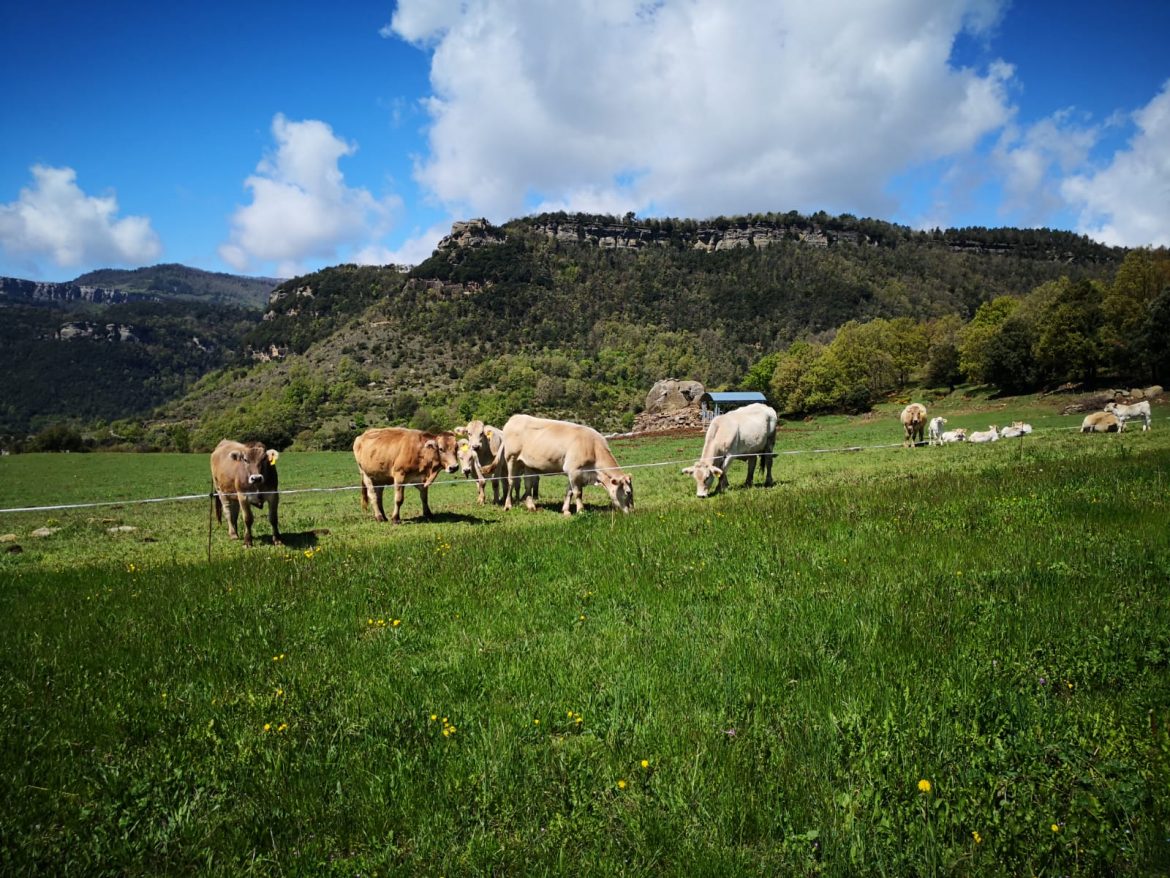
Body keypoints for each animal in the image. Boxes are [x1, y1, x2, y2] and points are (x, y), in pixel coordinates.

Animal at [482, 414, 636, 515]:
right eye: (628, 492)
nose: (632, 511)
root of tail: (513, 418)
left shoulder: (572, 472)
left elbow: (569, 492)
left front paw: (566, 510)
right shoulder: (574, 470)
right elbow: (578, 493)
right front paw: (581, 510)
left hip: (528, 464)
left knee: (528, 484)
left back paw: (531, 506)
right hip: (511, 458)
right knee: (511, 481)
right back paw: (508, 505)